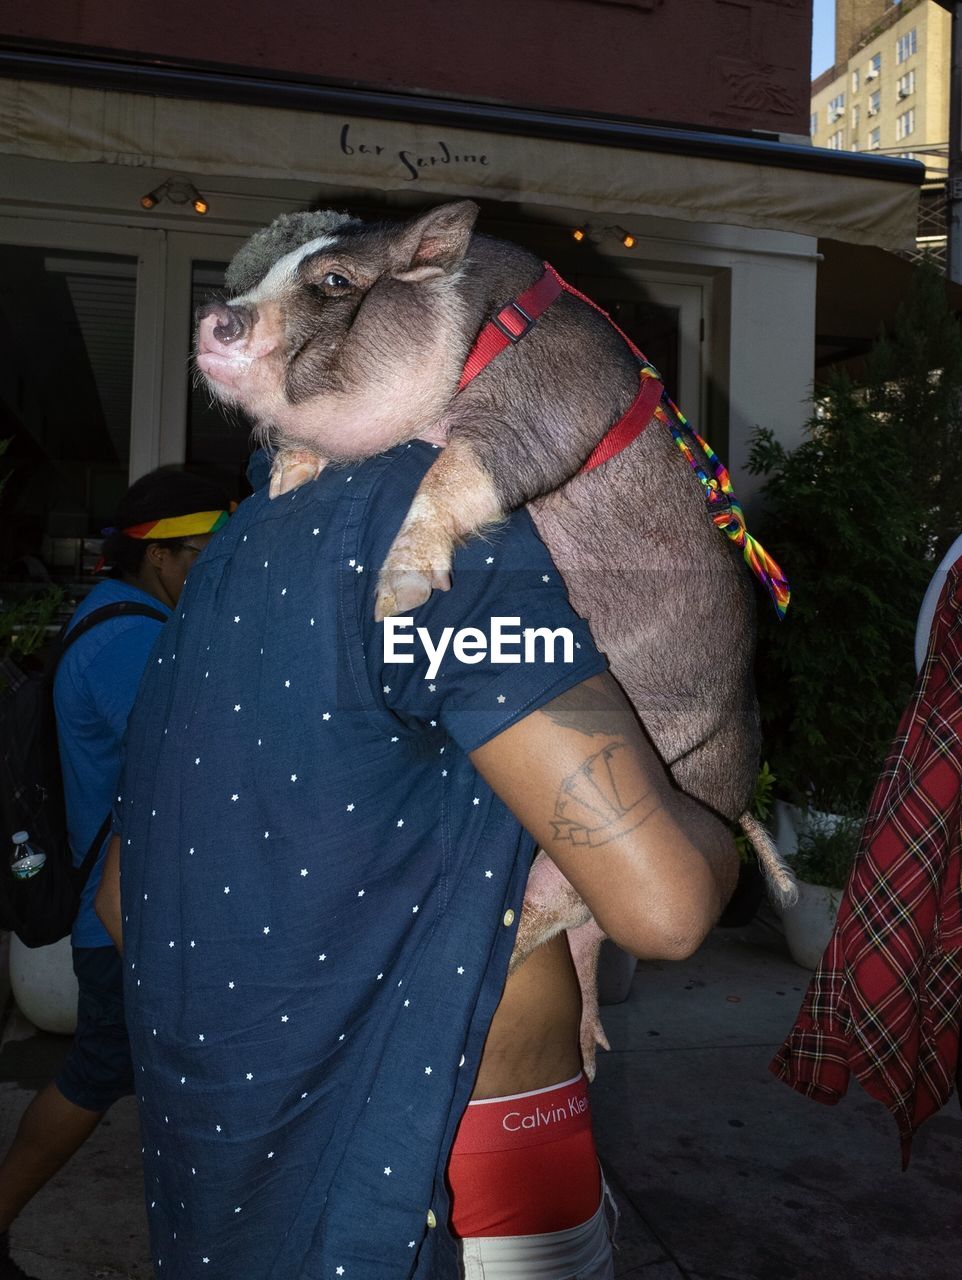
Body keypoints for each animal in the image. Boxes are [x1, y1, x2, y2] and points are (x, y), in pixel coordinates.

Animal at [197, 202, 798, 1080]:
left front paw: (393, 598)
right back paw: (587, 1052)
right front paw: (285, 481)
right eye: (259, 277)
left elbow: (463, 467)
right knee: (584, 934)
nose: (214, 317)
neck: (468, 337)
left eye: (336, 280)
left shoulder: (549, 403)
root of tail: (738, 797)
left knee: (563, 911)